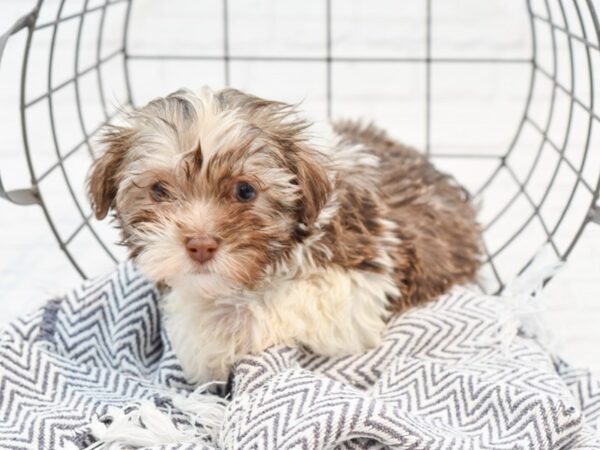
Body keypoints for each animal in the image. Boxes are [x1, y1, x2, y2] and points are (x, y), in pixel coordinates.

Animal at [88, 87, 482, 384]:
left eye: (245, 191)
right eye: (159, 190)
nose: (200, 245)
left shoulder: (365, 279)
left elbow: (282, 302)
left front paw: (220, 331)